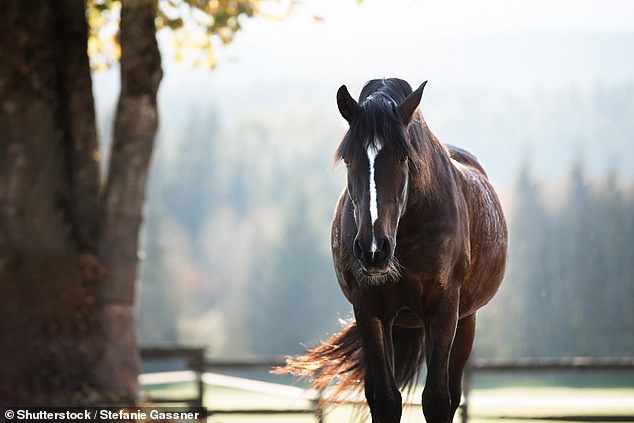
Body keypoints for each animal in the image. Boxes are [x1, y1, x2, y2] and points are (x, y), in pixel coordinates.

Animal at [274, 78, 506, 422]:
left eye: (402, 157)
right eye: (348, 158)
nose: (373, 249)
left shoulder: (444, 310)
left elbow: (437, 400)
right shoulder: (370, 310)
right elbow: (384, 399)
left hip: (466, 321)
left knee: (452, 394)